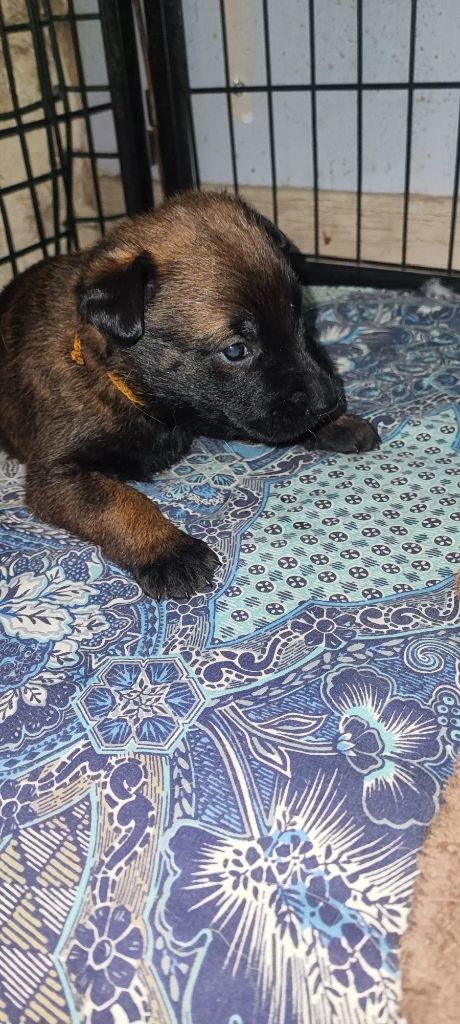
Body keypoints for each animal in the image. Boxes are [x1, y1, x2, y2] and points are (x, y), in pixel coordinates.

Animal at [0, 191, 379, 599]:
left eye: (301, 318)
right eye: (235, 350)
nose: (329, 400)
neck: (117, 374)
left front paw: (336, 425)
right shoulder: (57, 473)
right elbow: (119, 501)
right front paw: (168, 550)